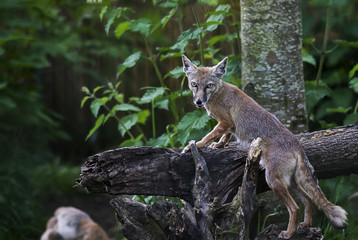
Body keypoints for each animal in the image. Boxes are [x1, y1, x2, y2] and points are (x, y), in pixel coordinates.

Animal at [182, 54, 346, 238]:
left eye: (208, 86)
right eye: (194, 84)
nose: (198, 101)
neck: (218, 93)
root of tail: (296, 145)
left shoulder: (226, 122)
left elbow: (208, 136)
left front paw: (195, 146)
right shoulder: (230, 126)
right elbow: (224, 137)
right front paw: (218, 145)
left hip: (274, 182)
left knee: (295, 207)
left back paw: (289, 233)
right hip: (290, 182)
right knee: (308, 200)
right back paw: (306, 225)